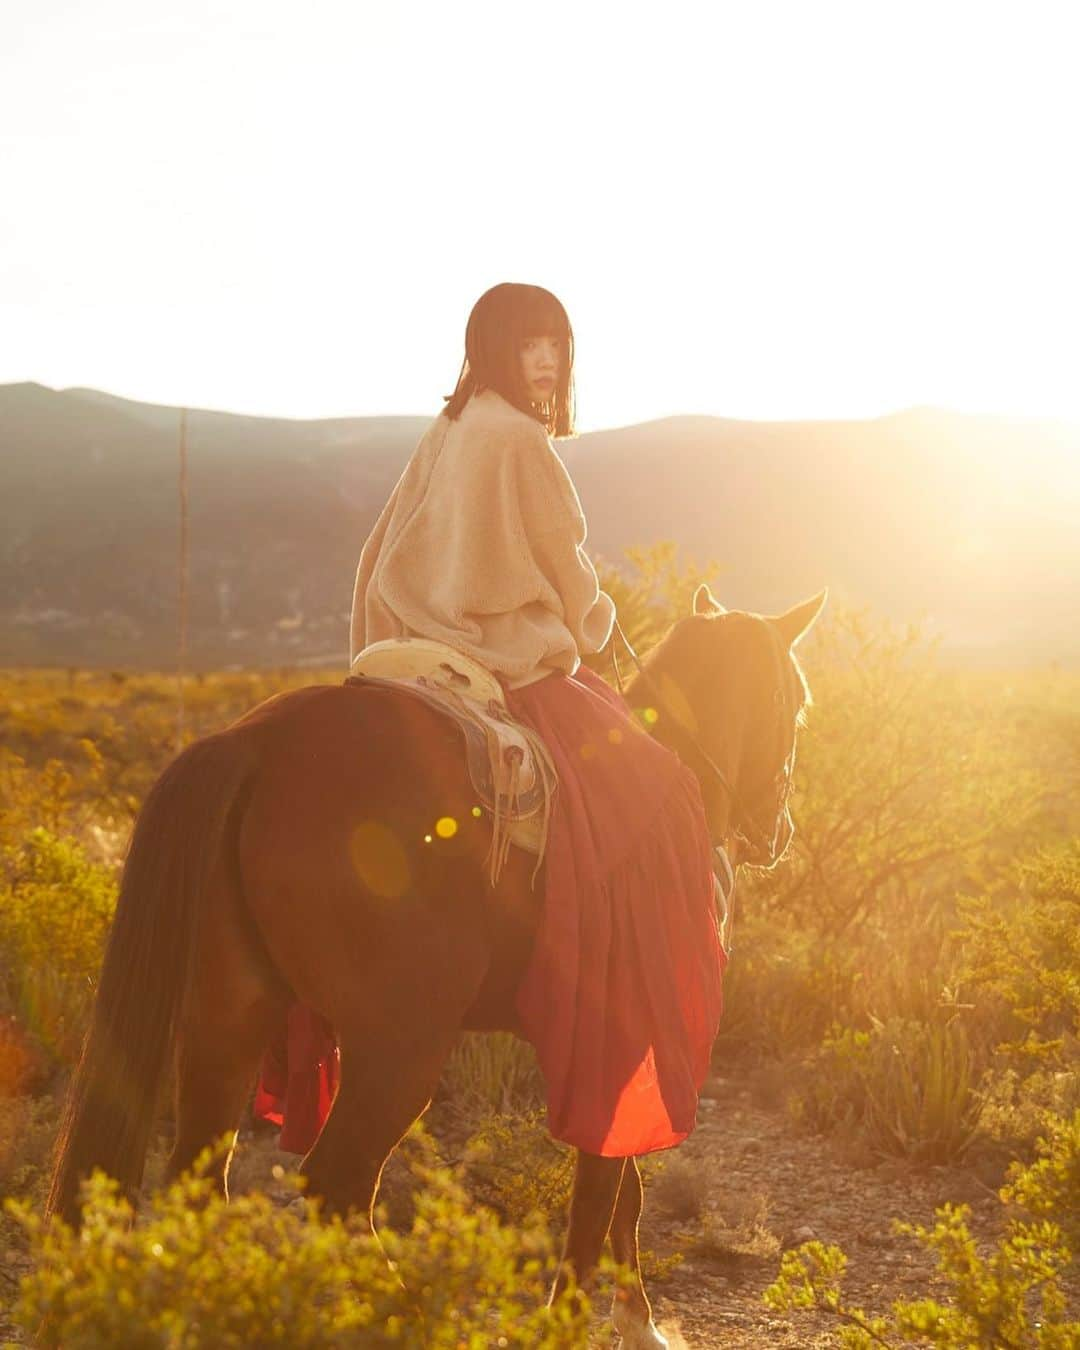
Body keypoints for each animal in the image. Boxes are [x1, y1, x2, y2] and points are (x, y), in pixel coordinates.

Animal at [48, 583, 826, 1350]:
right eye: (797, 702)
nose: (777, 831)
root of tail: (254, 742)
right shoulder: (619, 1038)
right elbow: (604, 1192)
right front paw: (599, 1322)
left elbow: (620, 1186)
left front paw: (636, 1321)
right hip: (400, 1049)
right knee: (335, 1184)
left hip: (229, 1016)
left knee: (201, 1176)